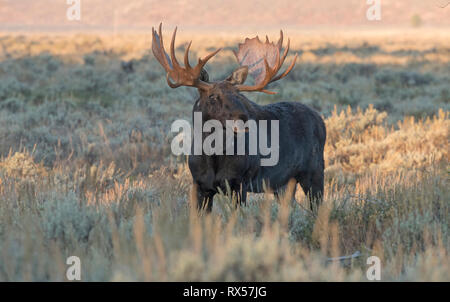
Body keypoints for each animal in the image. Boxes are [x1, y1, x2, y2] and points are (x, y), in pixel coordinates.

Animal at [153, 23, 326, 212]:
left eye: (238, 95)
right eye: (213, 96)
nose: (243, 119)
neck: (213, 156)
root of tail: (321, 120)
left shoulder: (239, 184)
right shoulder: (199, 185)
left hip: (314, 172)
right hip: (284, 184)